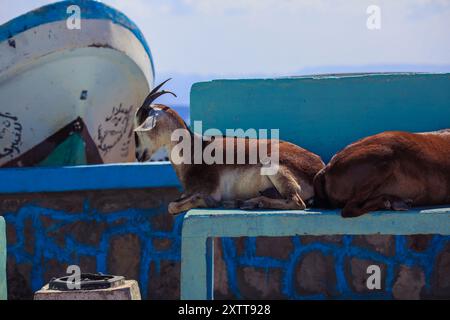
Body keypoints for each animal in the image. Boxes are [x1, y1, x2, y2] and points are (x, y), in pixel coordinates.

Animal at [134, 80, 326, 215]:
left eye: (139, 130)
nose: (138, 155)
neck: (195, 149)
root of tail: (318, 168)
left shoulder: (208, 189)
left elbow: (172, 206)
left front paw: (209, 202)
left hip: (273, 166)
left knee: (297, 202)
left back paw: (249, 203)